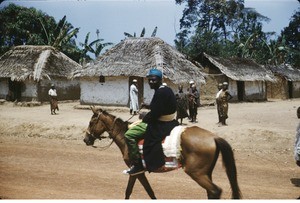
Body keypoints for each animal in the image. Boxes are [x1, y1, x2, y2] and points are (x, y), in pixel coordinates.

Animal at [83, 107, 243, 199]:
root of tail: (213, 137)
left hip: (196, 173)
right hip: (206, 173)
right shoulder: (136, 172)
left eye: (91, 123)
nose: (86, 139)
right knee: (211, 193)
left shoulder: (136, 171)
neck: (125, 136)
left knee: (215, 191)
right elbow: (133, 191)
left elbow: (142, 191)